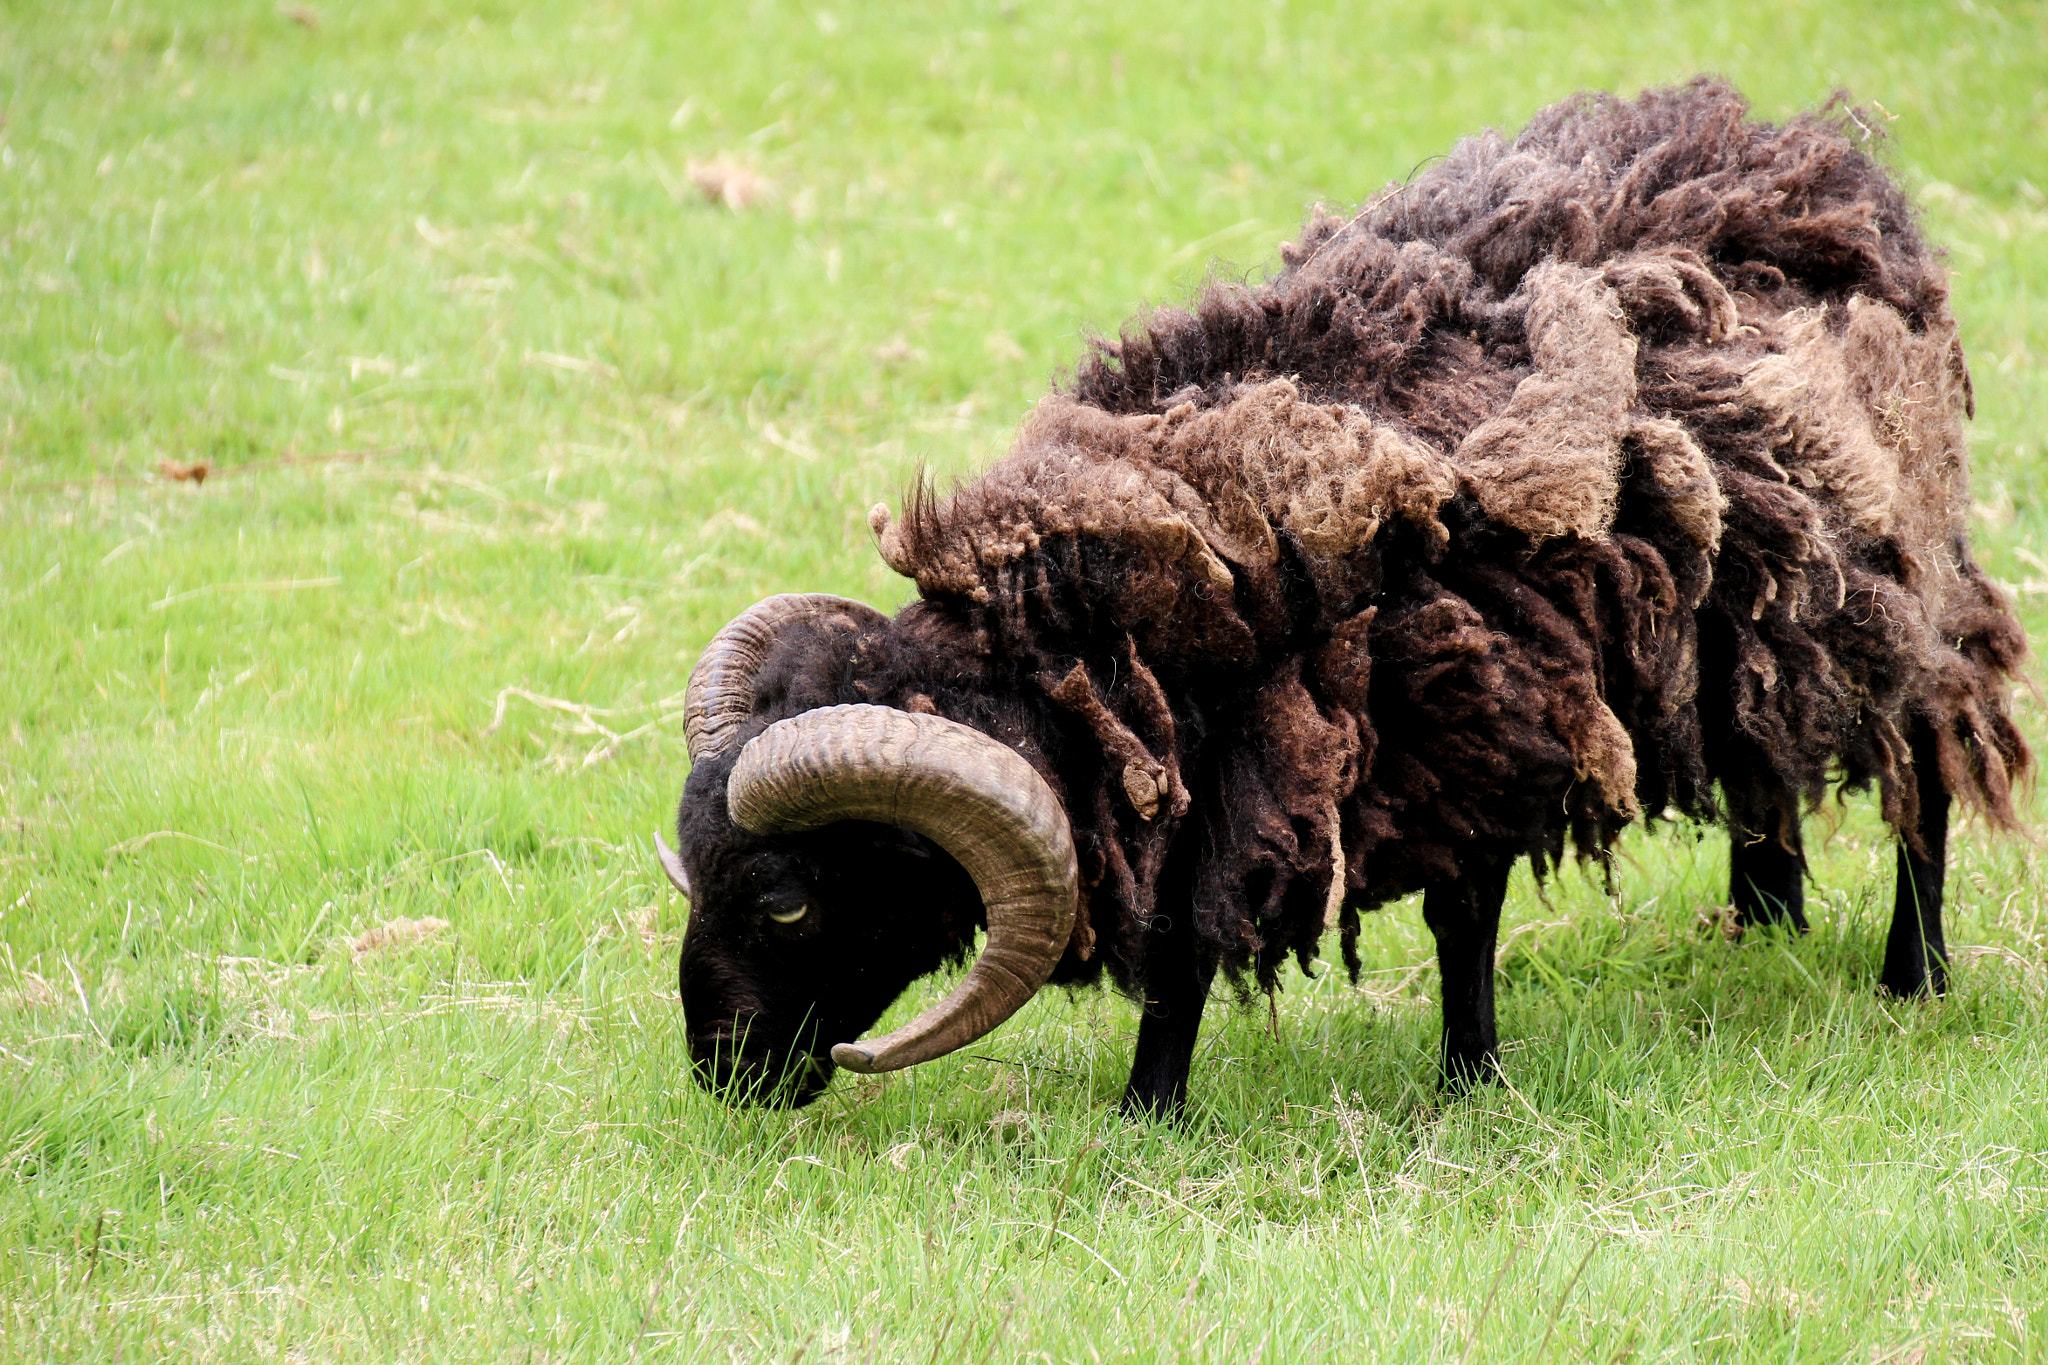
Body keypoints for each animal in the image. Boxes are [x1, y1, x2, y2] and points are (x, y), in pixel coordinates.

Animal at [658, 79, 2029, 1119]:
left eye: (785, 898)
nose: (721, 1076)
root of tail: (1817, 154)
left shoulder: (1473, 721)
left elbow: (1459, 916)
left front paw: (1467, 1082)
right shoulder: (1219, 771)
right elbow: (1184, 945)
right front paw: (1150, 1109)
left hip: (1885, 581)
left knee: (1923, 762)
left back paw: (1913, 975)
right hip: (1739, 623)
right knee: (1760, 754)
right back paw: (1762, 921)